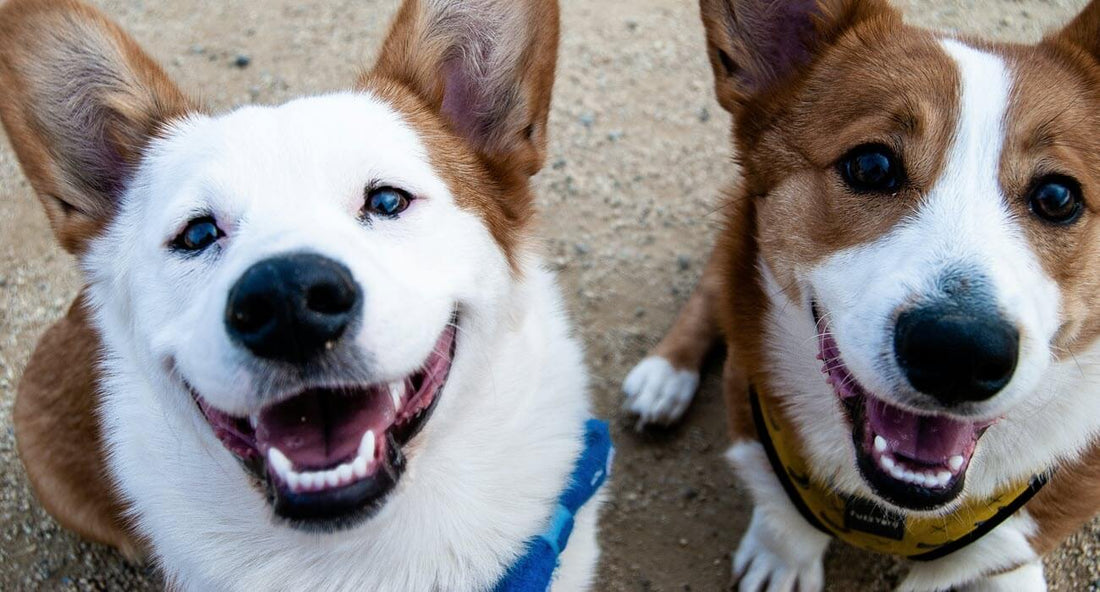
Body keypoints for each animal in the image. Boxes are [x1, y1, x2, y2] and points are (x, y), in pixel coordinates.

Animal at [624, 0, 1100, 585]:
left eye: (1057, 196)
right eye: (871, 165)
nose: (958, 353)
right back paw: (664, 377)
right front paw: (782, 556)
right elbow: (785, 511)